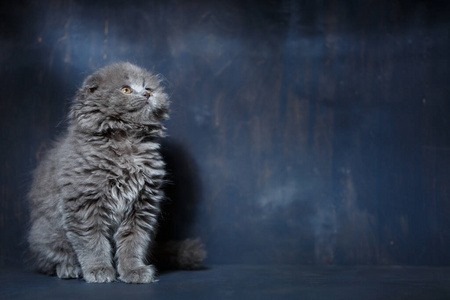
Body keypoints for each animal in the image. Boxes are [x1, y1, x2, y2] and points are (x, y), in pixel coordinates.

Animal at [29, 62, 207, 282]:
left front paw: (133, 270)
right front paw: (98, 269)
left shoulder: (142, 207)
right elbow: (92, 242)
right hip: (46, 233)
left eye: (148, 89)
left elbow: (133, 243)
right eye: (126, 90)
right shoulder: (84, 205)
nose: (147, 95)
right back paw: (68, 268)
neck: (126, 141)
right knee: (49, 259)